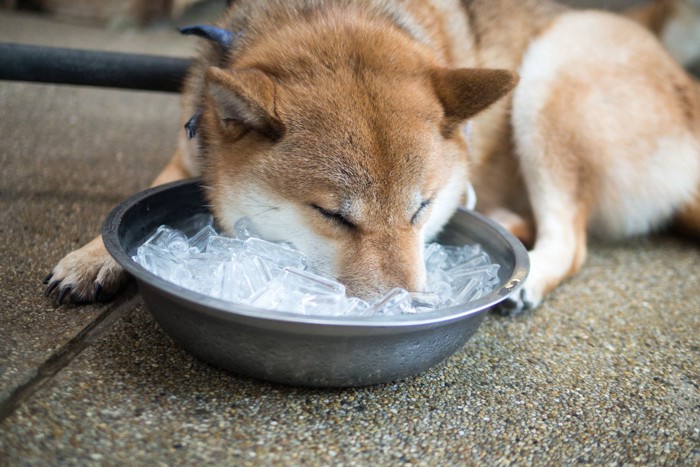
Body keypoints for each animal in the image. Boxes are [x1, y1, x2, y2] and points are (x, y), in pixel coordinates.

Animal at [45, 1, 700, 314]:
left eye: (421, 209)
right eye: (334, 216)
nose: (407, 308)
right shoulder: (189, 146)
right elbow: (136, 198)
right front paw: (91, 259)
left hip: (553, 72)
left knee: (570, 238)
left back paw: (527, 275)